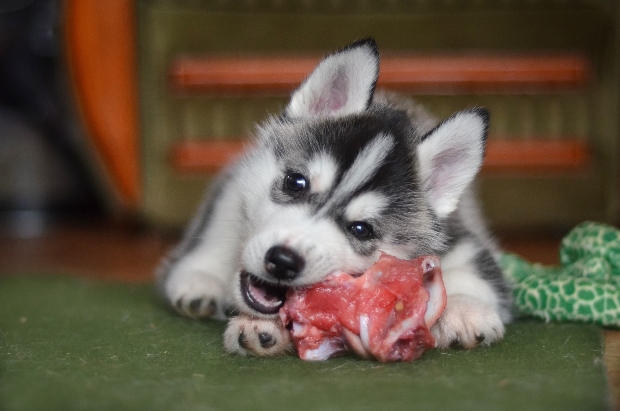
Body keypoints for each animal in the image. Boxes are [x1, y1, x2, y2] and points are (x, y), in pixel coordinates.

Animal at [156, 40, 512, 358]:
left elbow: (471, 270)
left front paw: (465, 310)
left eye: (361, 229)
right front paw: (254, 321)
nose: (282, 260)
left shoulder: (460, 236)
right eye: (295, 182)